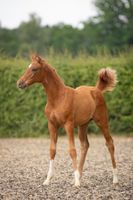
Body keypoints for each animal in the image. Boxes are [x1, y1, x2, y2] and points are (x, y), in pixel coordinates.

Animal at [17, 54, 118, 186]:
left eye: (34, 69)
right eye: (28, 67)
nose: (19, 83)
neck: (58, 98)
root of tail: (97, 90)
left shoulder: (68, 125)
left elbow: (72, 150)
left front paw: (77, 183)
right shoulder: (52, 125)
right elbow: (52, 150)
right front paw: (47, 180)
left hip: (102, 121)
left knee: (110, 143)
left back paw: (115, 179)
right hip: (83, 125)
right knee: (85, 145)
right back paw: (79, 176)